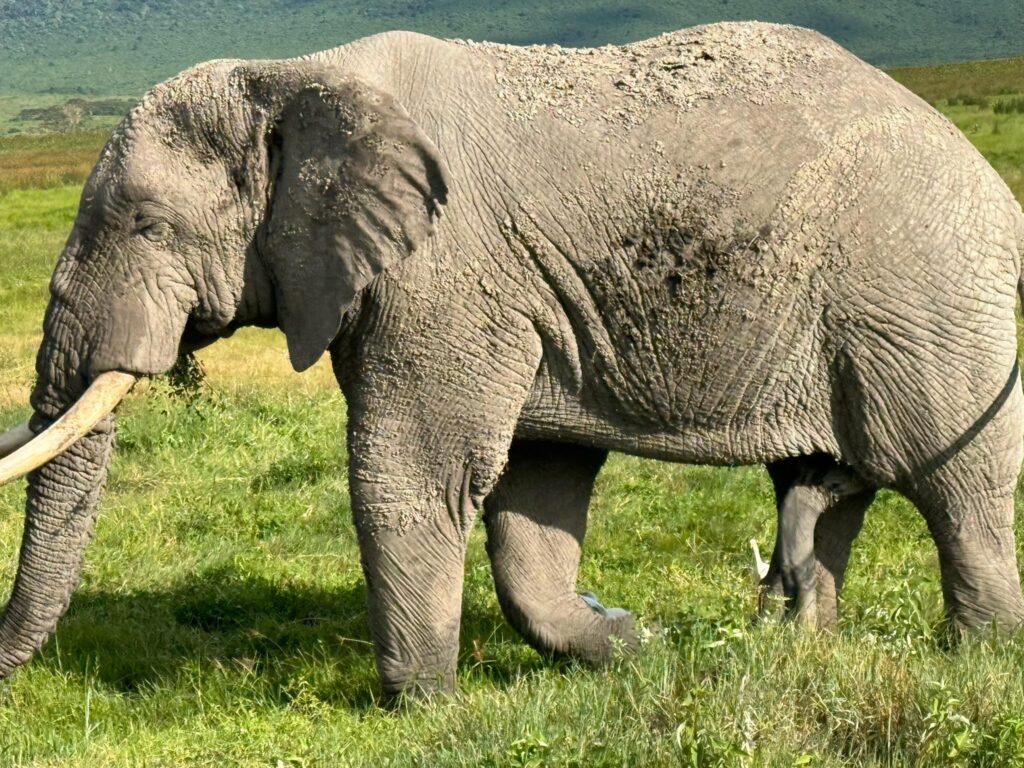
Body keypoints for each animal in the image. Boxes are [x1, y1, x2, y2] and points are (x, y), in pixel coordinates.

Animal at [1, 20, 1024, 698]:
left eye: (147, 225)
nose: (12, 681)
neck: (292, 77)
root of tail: (992, 187)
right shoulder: (520, 295)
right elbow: (533, 490)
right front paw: (633, 645)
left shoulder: (447, 274)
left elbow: (414, 474)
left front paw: (422, 709)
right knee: (822, 483)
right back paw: (795, 644)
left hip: (923, 300)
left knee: (958, 487)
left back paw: (977, 659)